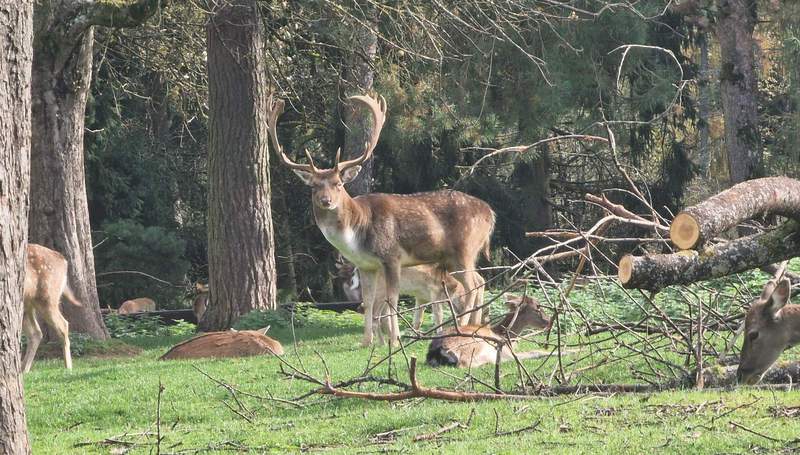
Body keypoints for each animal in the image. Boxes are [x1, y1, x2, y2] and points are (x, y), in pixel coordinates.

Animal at [22, 244, 82, 372]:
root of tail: (64, 261)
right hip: (29, 304)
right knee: (36, 333)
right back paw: (23, 369)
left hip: (48, 298)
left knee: (63, 324)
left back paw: (68, 367)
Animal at [268, 93, 495, 347]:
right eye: (314, 186)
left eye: (338, 184)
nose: (326, 201)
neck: (357, 231)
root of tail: (490, 213)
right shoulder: (366, 265)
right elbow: (368, 302)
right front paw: (366, 342)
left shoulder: (392, 256)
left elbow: (392, 299)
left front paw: (394, 340)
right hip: (459, 256)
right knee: (479, 280)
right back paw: (474, 326)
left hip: (464, 248)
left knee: (473, 285)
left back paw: (462, 329)